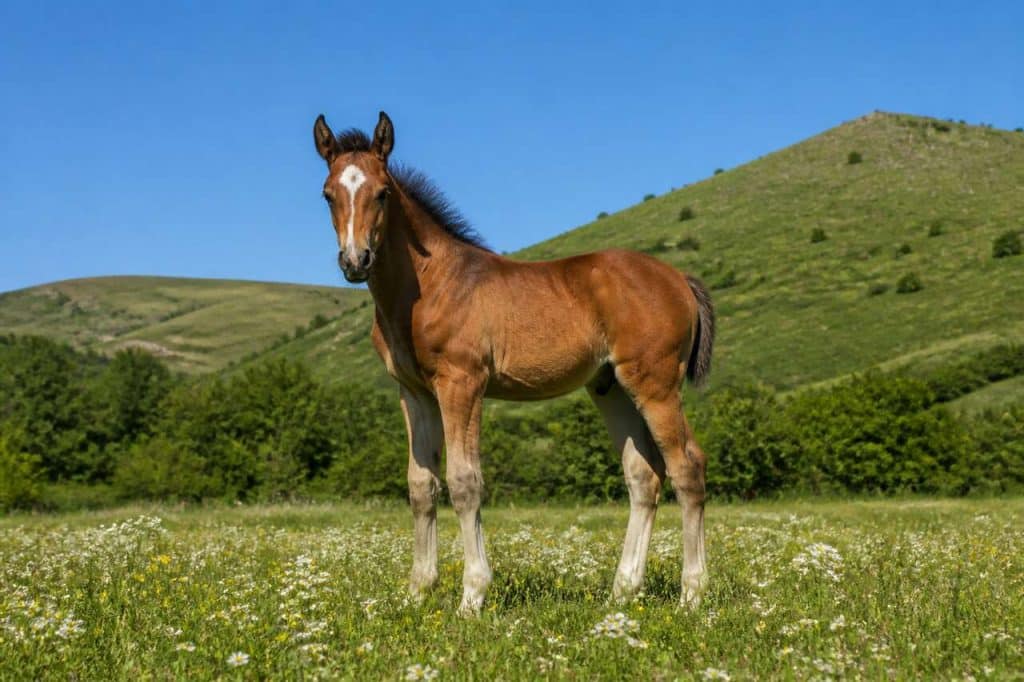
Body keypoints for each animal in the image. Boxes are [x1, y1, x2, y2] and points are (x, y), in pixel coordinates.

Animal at [313, 111, 716, 615]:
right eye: (328, 194)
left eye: (383, 191)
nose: (355, 260)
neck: (429, 283)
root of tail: (679, 278)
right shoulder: (414, 392)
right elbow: (421, 485)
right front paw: (417, 592)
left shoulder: (462, 383)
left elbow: (464, 482)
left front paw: (472, 595)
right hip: (611, 387)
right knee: (644, 476)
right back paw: (623, 591)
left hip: (656, 383)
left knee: (687, 468)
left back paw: (692, 594)